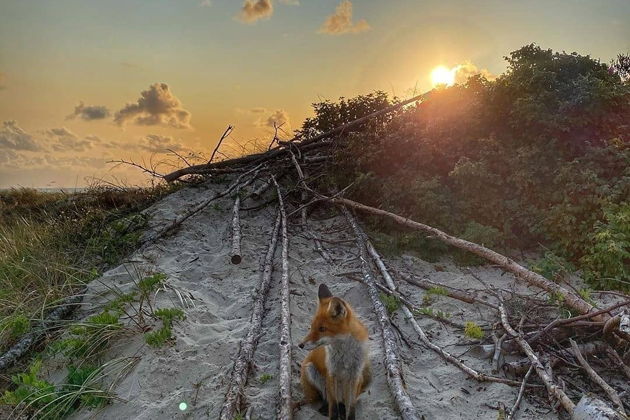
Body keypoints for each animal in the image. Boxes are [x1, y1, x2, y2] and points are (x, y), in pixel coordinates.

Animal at [298, 286, 372, 420]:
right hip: (310, 369)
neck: (345, 355)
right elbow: (333, 408)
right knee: (326, 399)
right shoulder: (331, 374)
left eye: (322, 329)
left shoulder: (354, 377)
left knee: (343, 402)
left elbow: (351, 409)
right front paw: (333, 414)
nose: (300, 345)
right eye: (312, 326)